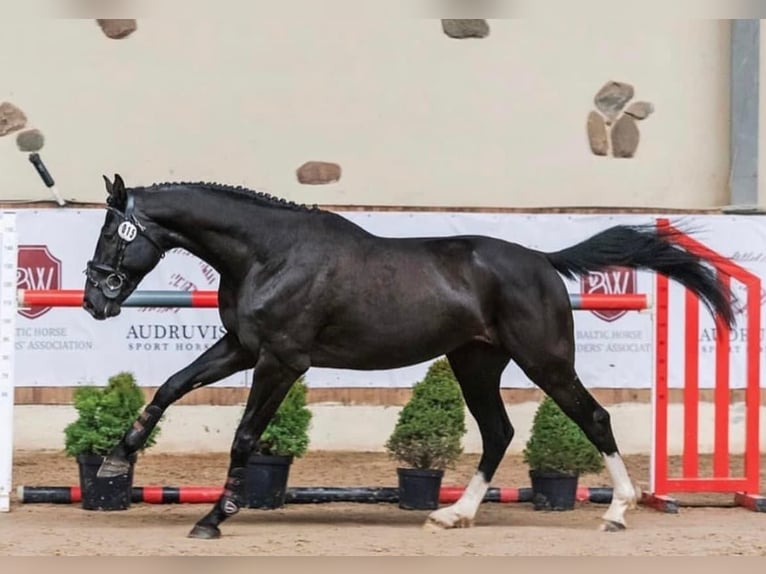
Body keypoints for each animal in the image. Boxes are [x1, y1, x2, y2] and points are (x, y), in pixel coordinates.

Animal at [84, 174, 736, 540]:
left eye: (113, 231)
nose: (95, 299)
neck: (270, 253)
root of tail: (542, 262)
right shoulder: (243, 348)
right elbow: (171, 385)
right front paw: (115, 464)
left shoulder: (281, 360)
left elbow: (245, 436)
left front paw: (214, 517)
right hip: (476, 364)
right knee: (498, 432)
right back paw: (453, 516)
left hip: (545, 360)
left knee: (592, 417)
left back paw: (619, 511)